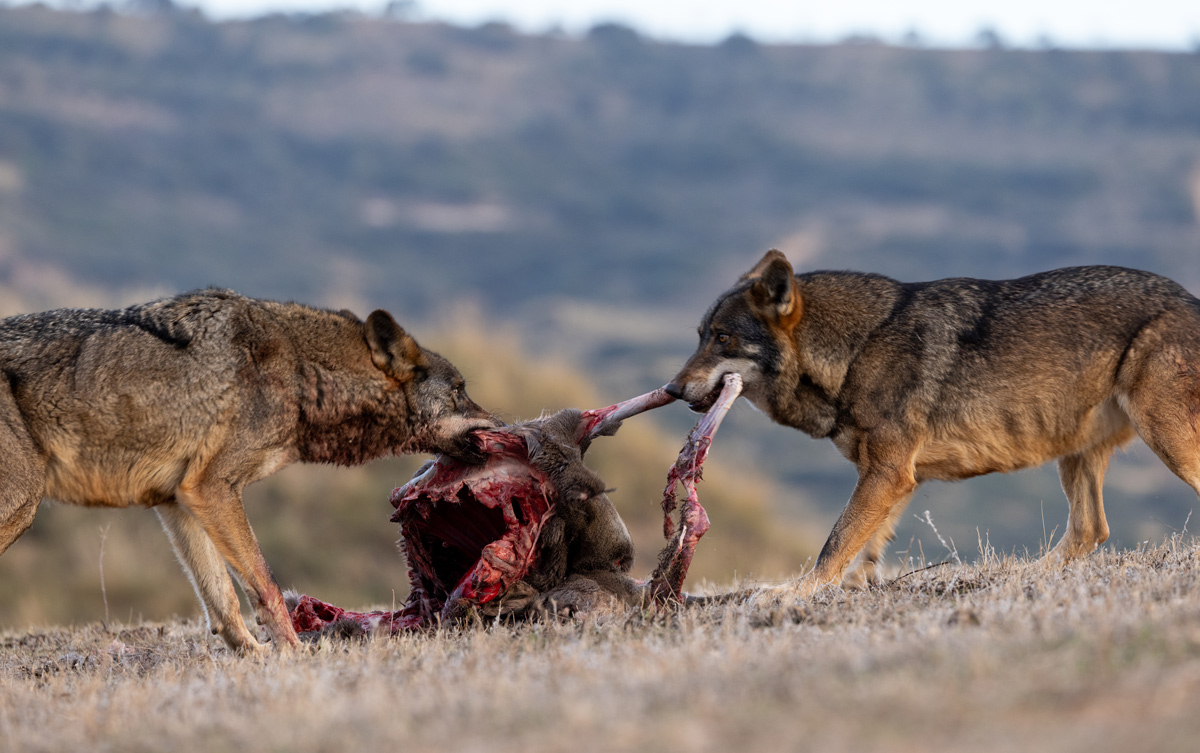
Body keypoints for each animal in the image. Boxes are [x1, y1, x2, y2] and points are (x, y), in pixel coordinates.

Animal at [0, 290, 496, 652]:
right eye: (460, 391)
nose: (502, 424)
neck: (300, 370)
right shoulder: (212, 488)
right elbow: (267, 587)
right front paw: (295, 656)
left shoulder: (178, 501)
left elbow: (223, 603)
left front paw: (257, 660)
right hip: (22, 505)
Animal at [667, 252, 1200, 599]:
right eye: (700, 336)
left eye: (722, 338)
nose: (672, 388)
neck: (858, 349)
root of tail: (1189, 297)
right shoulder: (899, 478)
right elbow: (865, 546)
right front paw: (853, 587)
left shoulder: (886, 474)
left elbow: (834, 542)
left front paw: (796, 592)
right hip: (1077, 454)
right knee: (1091, 530)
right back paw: (1020, 578)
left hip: (1163, 437)